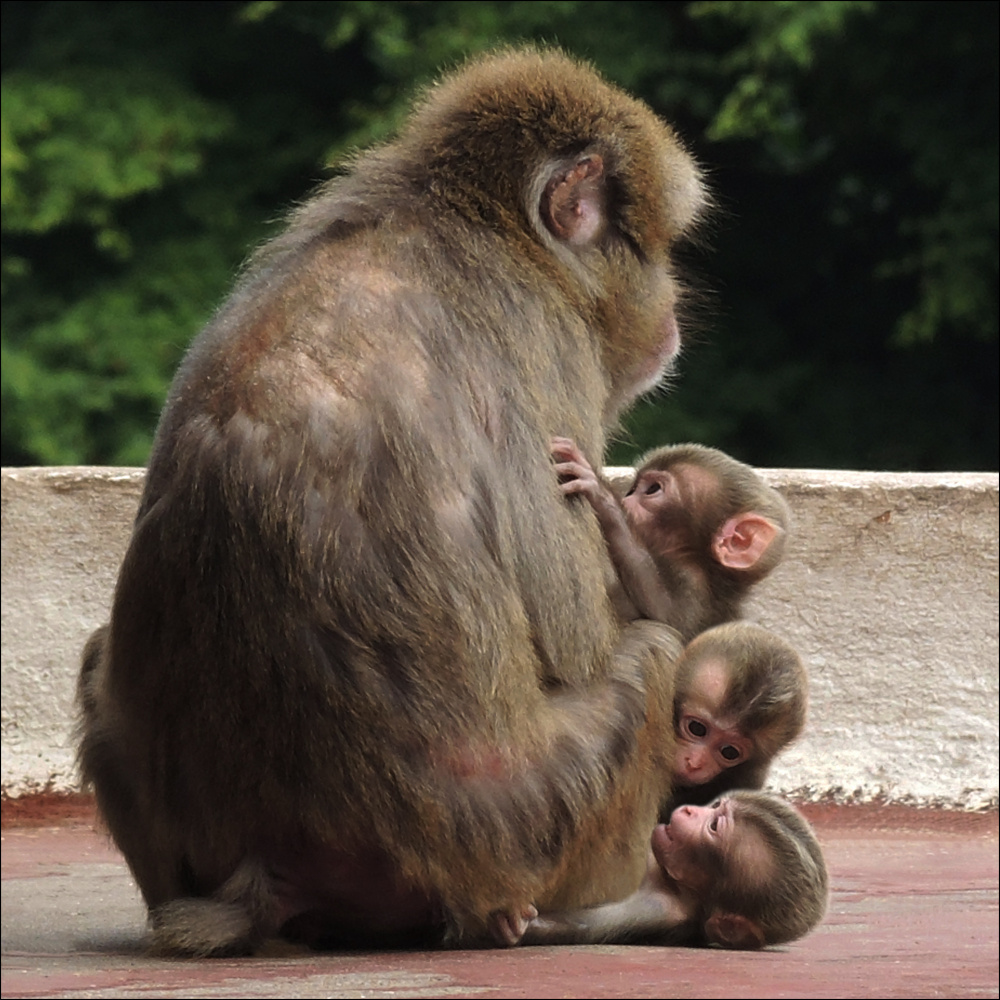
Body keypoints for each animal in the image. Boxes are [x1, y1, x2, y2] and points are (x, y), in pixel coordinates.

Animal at [76, 47, 704, 952]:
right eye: (649, 246)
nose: (674, 301)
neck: (478, 223)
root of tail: (262, 870)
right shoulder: (546, 344)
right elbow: (580, 632)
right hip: (520, 830)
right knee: (652, 660)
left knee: (98, 655)